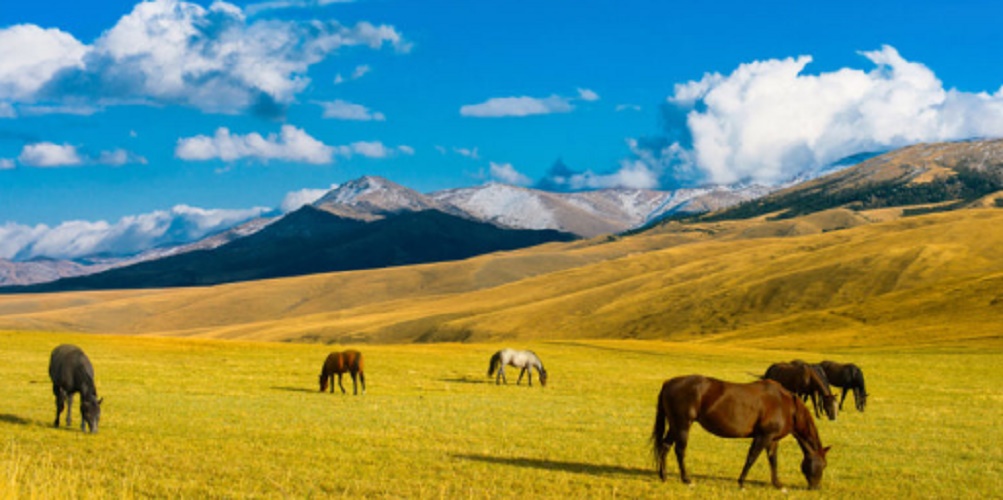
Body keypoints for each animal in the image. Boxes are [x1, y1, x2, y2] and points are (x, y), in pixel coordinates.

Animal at [649, 376, 830, 488]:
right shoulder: (763, 436)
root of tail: (669, 383)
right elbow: (751, 457)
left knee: (665, 447)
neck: (785, 405)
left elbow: (773, 460)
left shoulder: (772, 439)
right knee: (680, 450)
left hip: (674, 426)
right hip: (682, 425)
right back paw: (686, 479)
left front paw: (777, 483)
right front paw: (741, 482)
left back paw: (663, 476)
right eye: (822, 465)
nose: (816, 487)